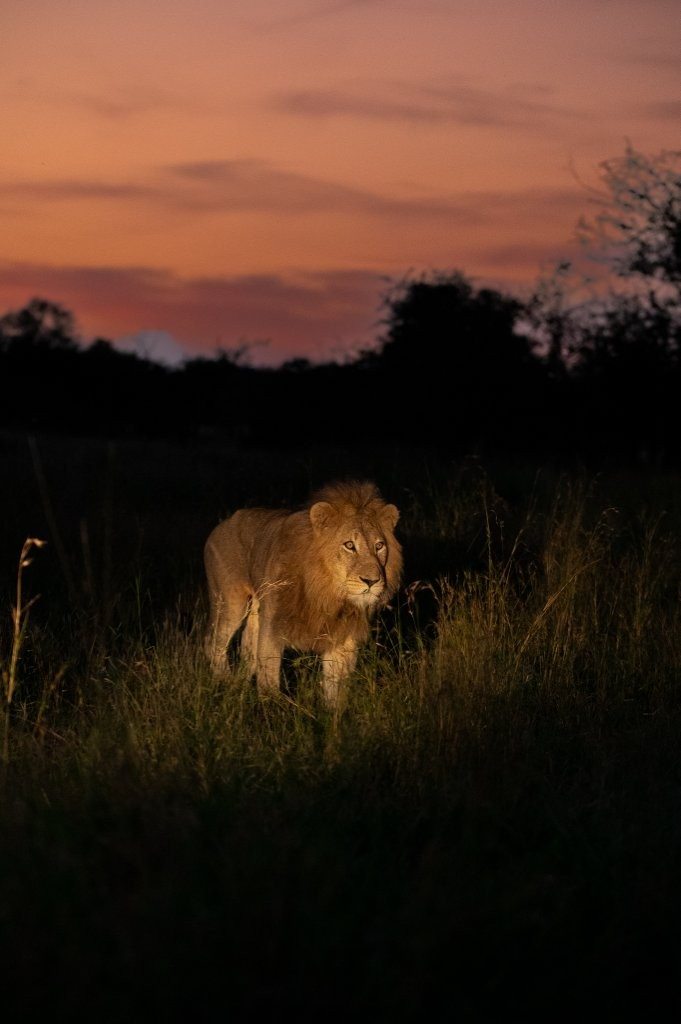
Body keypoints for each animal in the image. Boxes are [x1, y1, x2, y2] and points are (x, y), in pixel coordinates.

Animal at [203, 480, 402, 706]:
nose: (372, 581)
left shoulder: (342, 638)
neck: (327, 592)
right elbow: (269, 675)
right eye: (350, 545)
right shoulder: (273, 625)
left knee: (247, 652)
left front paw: (333, 715)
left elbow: (336, 687)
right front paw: (272, 709)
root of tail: (225, 522)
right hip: (230, 602)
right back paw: (224, 684)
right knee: (213, 644)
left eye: (379, 546)